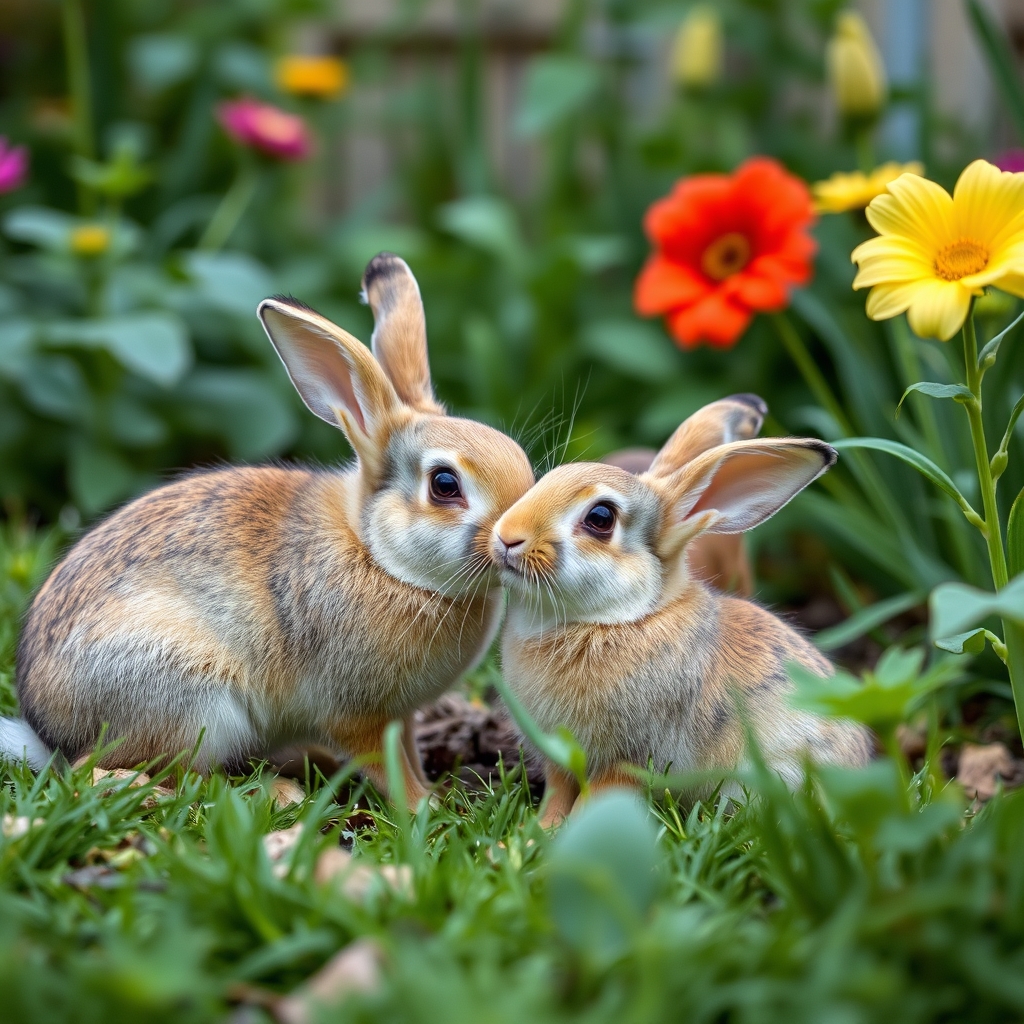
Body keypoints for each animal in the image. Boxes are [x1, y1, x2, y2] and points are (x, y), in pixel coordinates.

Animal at [2, 253, 535, 806]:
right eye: (445, 484)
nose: (518, 536)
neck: (376, 552)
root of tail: (50, 735)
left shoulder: (401, 714)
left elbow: (405, 748)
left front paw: (433, 790)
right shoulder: (356, 712)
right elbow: (383, 761)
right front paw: (423, 804)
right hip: (192, 700)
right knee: (113, 772)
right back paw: (266, 791)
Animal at [491, 395, 872, 825]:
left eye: (601, 518)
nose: (507, 537)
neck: (623, 618)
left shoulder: (632, 755)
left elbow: (601, 800)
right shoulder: (561, 758)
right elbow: (559, 793)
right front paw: (538, 832)